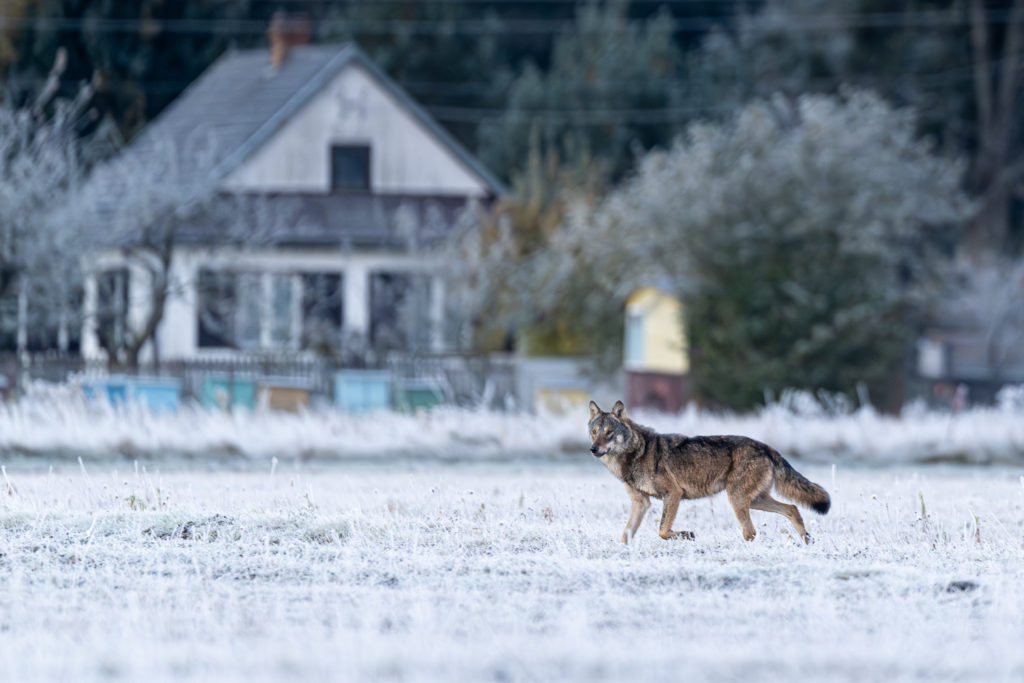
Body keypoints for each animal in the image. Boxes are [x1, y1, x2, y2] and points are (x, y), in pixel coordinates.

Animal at [588, 400, 830, 544]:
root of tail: (767, 447)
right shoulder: (641, 503)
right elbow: (625, 534)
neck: (637, 453)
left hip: (738, 499)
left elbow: (662, 531)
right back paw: (807, 542)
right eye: (594, 432)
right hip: (754, 500)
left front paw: (687, 535)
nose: (593, 449)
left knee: (751, 531)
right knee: (792, 509)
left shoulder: (673, 494)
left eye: (609, 433)